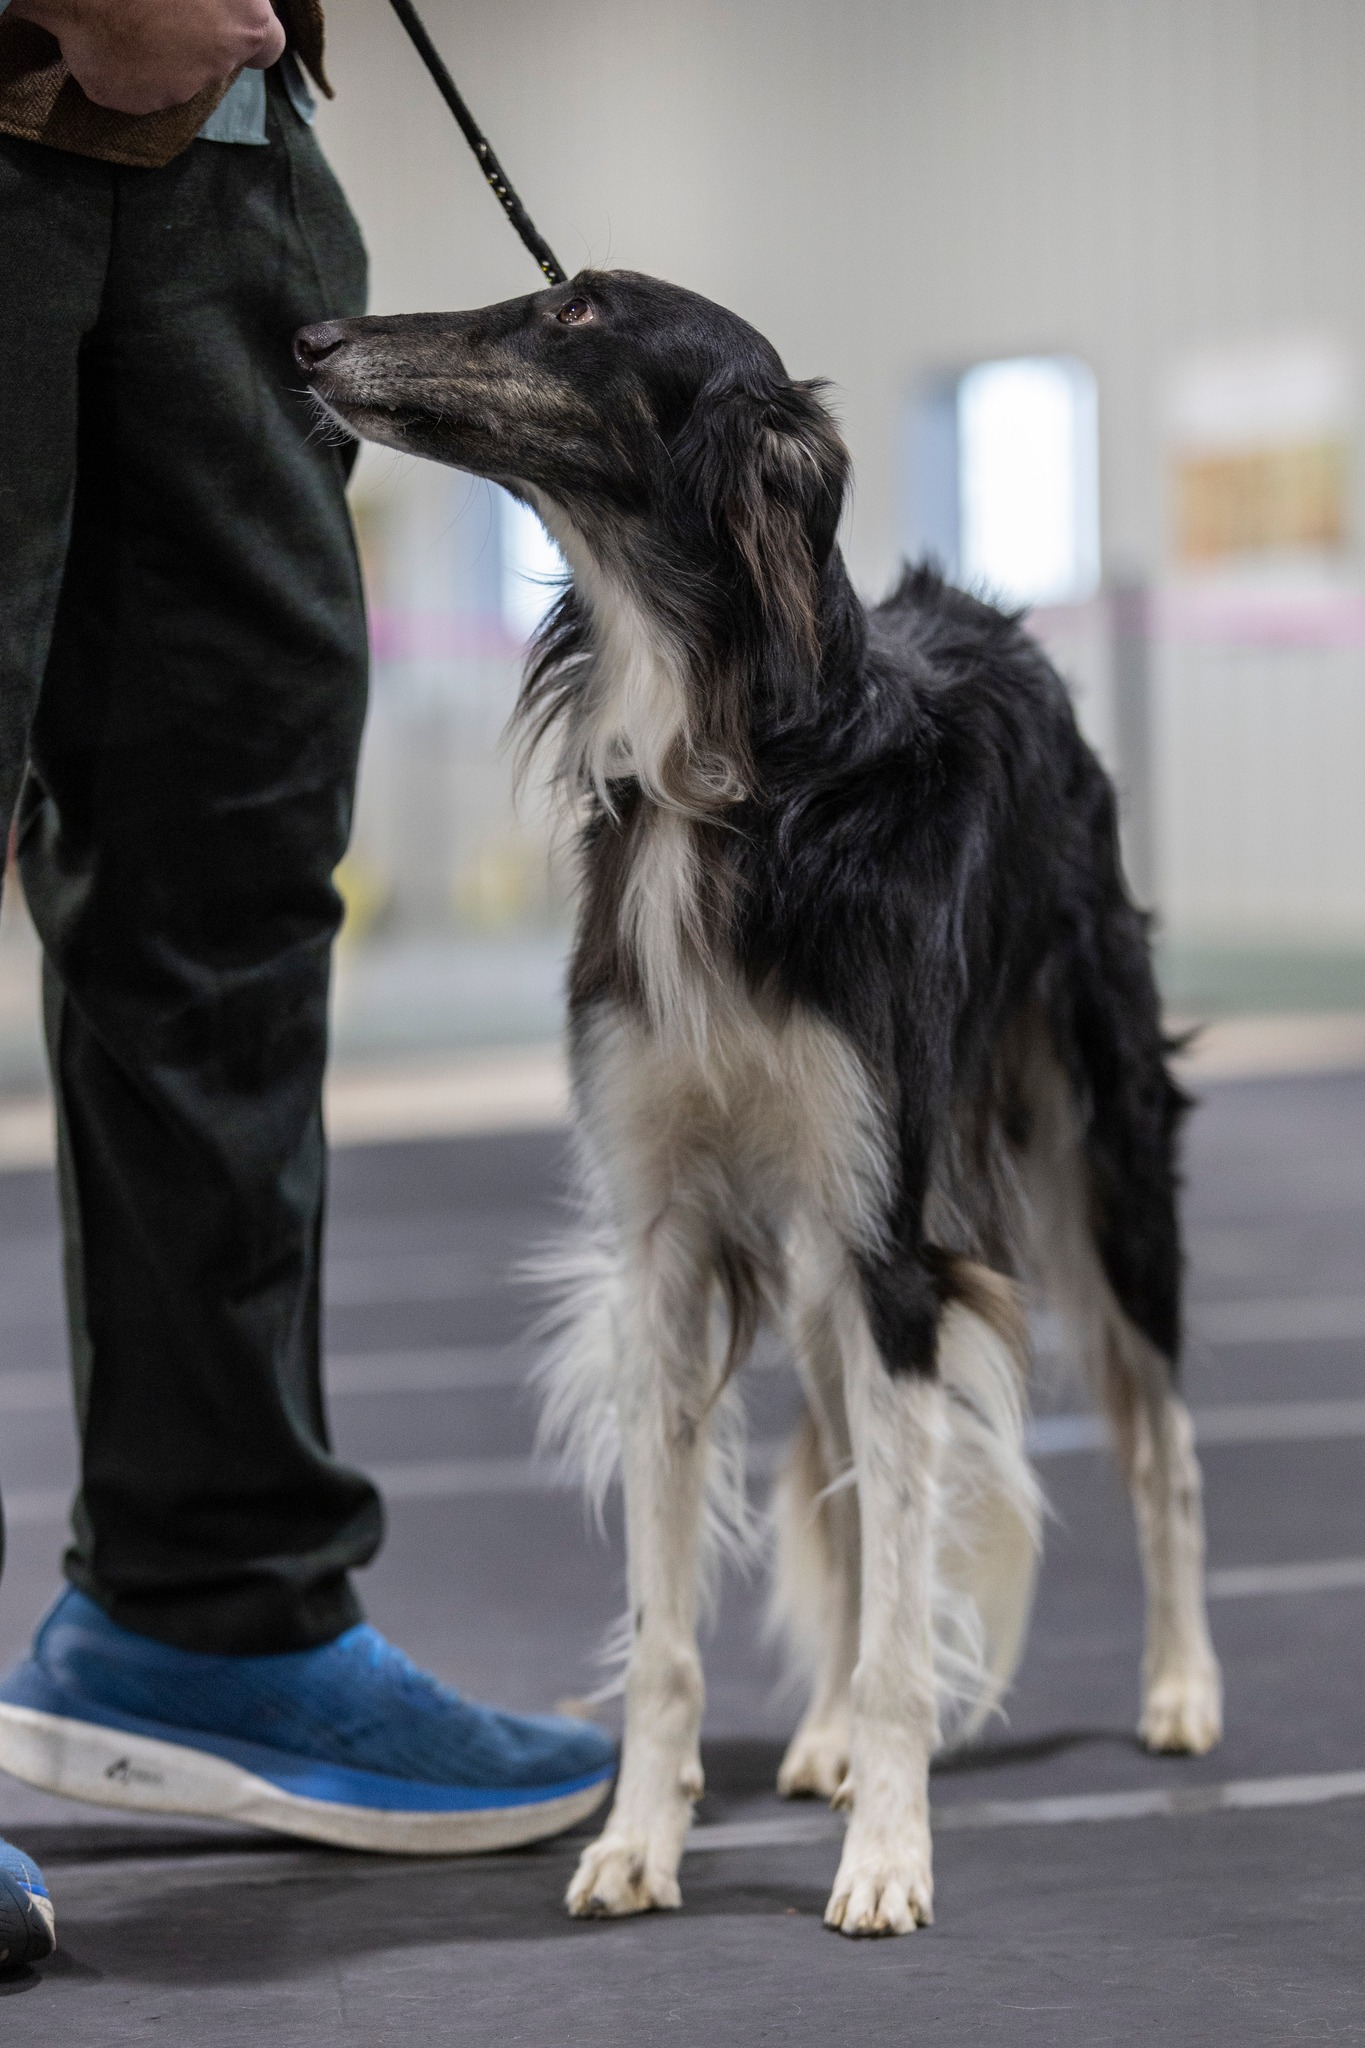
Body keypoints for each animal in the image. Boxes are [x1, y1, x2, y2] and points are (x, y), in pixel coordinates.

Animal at [295, 271, 1222, 1937]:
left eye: (578, 312)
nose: (313, 340)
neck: (725, 764)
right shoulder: (670, 1245)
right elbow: (677, 1621)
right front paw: (639, 1842)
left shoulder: (893, 1246)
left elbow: (912, 1597)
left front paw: (891, 1856)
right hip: (808, 1259)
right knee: (854, 1492)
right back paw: (829, 1737)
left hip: (1098, 1154)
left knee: (1157, 1450)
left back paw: (1180, 1688)